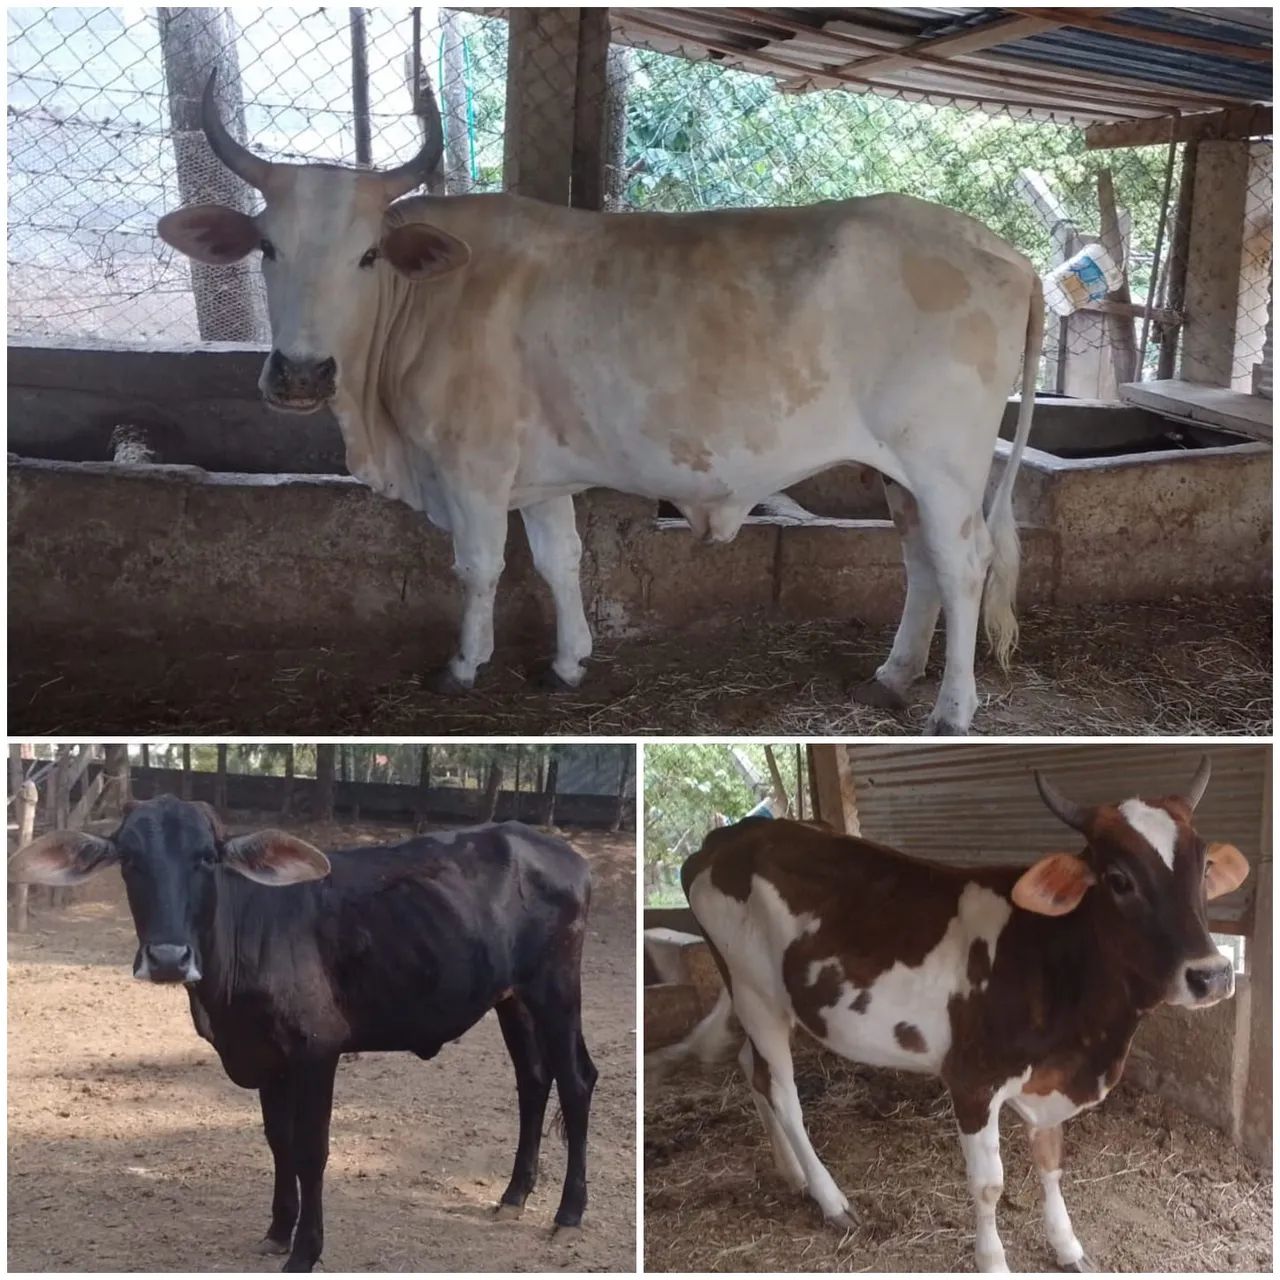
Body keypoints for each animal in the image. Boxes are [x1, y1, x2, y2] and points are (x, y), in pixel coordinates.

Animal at [8, 797, 597, 1273]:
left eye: (207, 857)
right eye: (129, 859)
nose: (169, 958)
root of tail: (564, 854)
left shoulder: (317, 1048)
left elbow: (312, 1149)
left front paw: (305, 1250)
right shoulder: (267, 1057)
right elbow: (279, 1142)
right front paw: (277, 1230)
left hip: (555, 987)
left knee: (575, 1081)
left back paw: (568, 1212)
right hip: (512, 998)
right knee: (533, 1080)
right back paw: (514, 1195)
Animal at [156, 71, 1045, 736]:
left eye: (367, 255)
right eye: (266, 247)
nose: (302, 374)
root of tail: (1003, 251)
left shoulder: (471, 466)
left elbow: (478, 567)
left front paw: (463, 667)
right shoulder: (538, 475)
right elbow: (560, 560)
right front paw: (567, 662)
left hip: (943, 462)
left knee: (964, 563)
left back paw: (951, 709)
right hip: (897, 471)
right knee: (920, 562)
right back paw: (892, 676)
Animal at [661, 757, 1249, 1272]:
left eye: (1203, 869)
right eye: (1120, 879)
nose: (1213, 974)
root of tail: (726, 839)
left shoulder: (1049, 1083)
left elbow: (1051, 1163)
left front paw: (1068, 1247)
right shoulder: (973, 1081)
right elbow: (988, 1185)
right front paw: (993, 1262)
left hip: (766, 1002)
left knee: (751, 1068)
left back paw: (792, 1174)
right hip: (755, 992)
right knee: (782, 1091)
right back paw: (831, 1200)